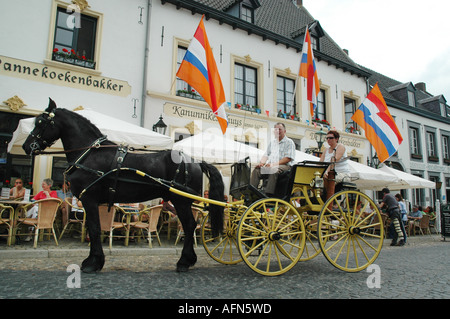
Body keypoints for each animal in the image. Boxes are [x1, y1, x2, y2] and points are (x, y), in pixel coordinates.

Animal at [22, 99, 224, 274]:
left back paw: (184, 261)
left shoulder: (89, 199)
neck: (88, 154)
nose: (26, 146)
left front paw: (93, 262)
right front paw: (94, 260)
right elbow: (95, 228)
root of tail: (195, 161)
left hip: (181, 201)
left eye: (40, 122)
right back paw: (188, 260)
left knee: (189, 225)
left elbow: (94, 228)